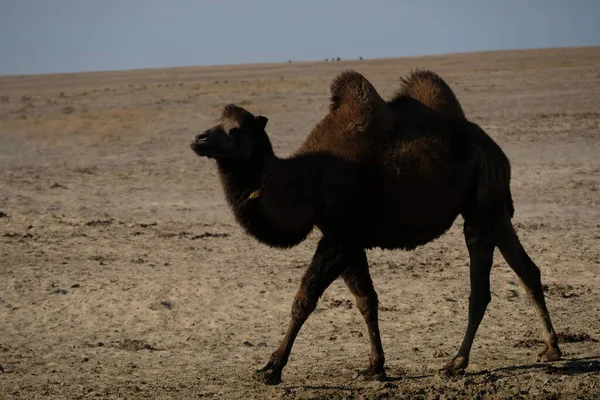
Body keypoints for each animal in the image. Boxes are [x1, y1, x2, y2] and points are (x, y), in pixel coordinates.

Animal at [189, 69, 564, 384]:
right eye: (216, 121)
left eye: (235, 130)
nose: (199, 139)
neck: (305, 181)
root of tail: (497, 150)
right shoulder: (348, 238)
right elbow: (366, 300)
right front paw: (375, 367)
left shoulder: (339, 236)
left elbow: (304, 299)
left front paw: (271, 368)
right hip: (495, 210)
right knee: (527, 270)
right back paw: (551, 348)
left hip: (482, 207)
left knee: (480, 287)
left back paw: (456, 363)